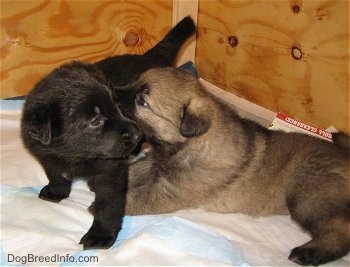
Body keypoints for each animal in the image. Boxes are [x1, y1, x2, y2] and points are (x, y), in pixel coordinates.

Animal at [21, 61, 142, 250]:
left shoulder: (111, 171)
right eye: (95, 121)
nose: (138, 134)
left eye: (116, 103)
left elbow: (108, 204)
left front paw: (100, 234)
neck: (76, 155)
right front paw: (56, 190)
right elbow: (56, 175)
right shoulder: (47, 156)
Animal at [117, 67, 350, 266]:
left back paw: (309, 253)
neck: (190, 144)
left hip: (309, 196)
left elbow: (133, 197)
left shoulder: (169, 193)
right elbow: (132, 171)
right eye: (136, 80)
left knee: (341, 228)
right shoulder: (153, 164)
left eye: (141, 101)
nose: (114, 90)